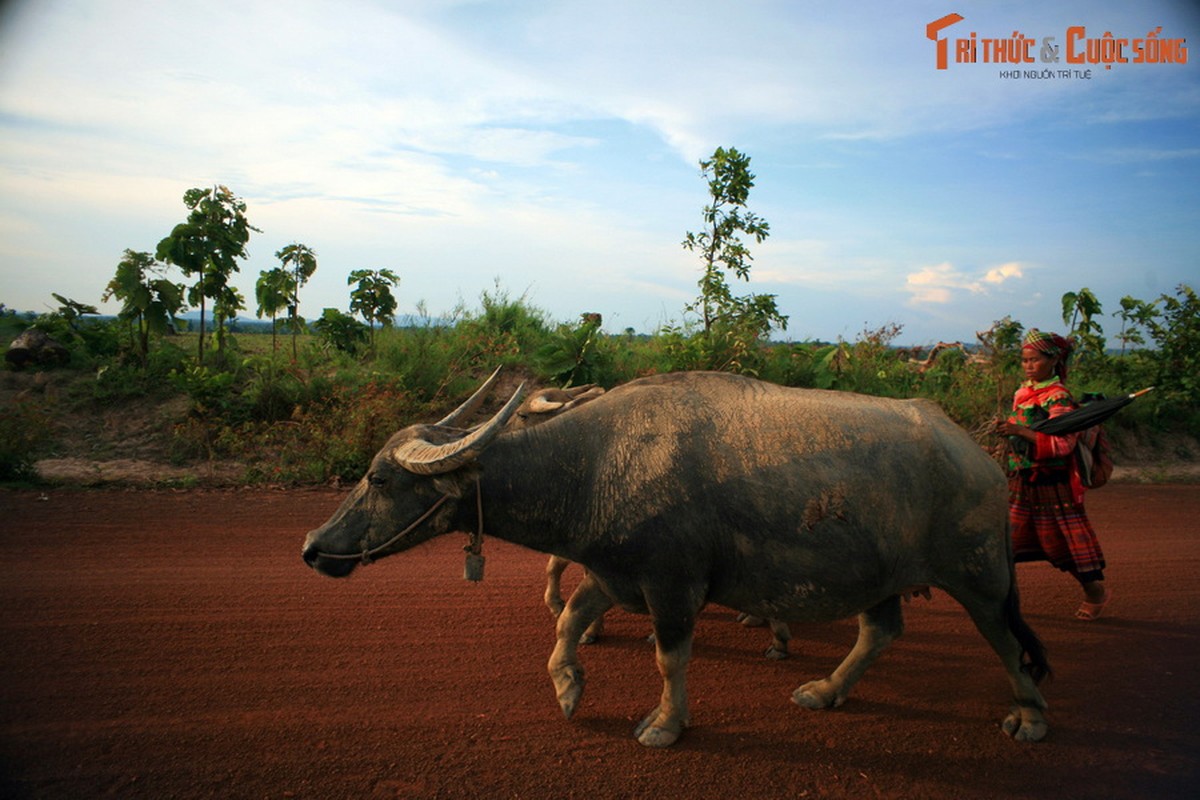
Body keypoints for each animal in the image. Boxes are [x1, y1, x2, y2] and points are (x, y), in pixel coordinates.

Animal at [302, 371, 1051, 753]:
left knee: (1008, 641)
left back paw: (1031, 716)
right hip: (878, 577)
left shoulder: (672, 585)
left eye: (379, 478)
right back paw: (825, 690)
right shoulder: (612, 573)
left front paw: (664, 724)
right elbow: (567, 620)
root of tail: (981, 456)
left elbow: (669, 659)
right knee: (880, 630)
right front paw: (568, 686)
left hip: (982, 576)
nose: (312, 548)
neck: (592, 465)